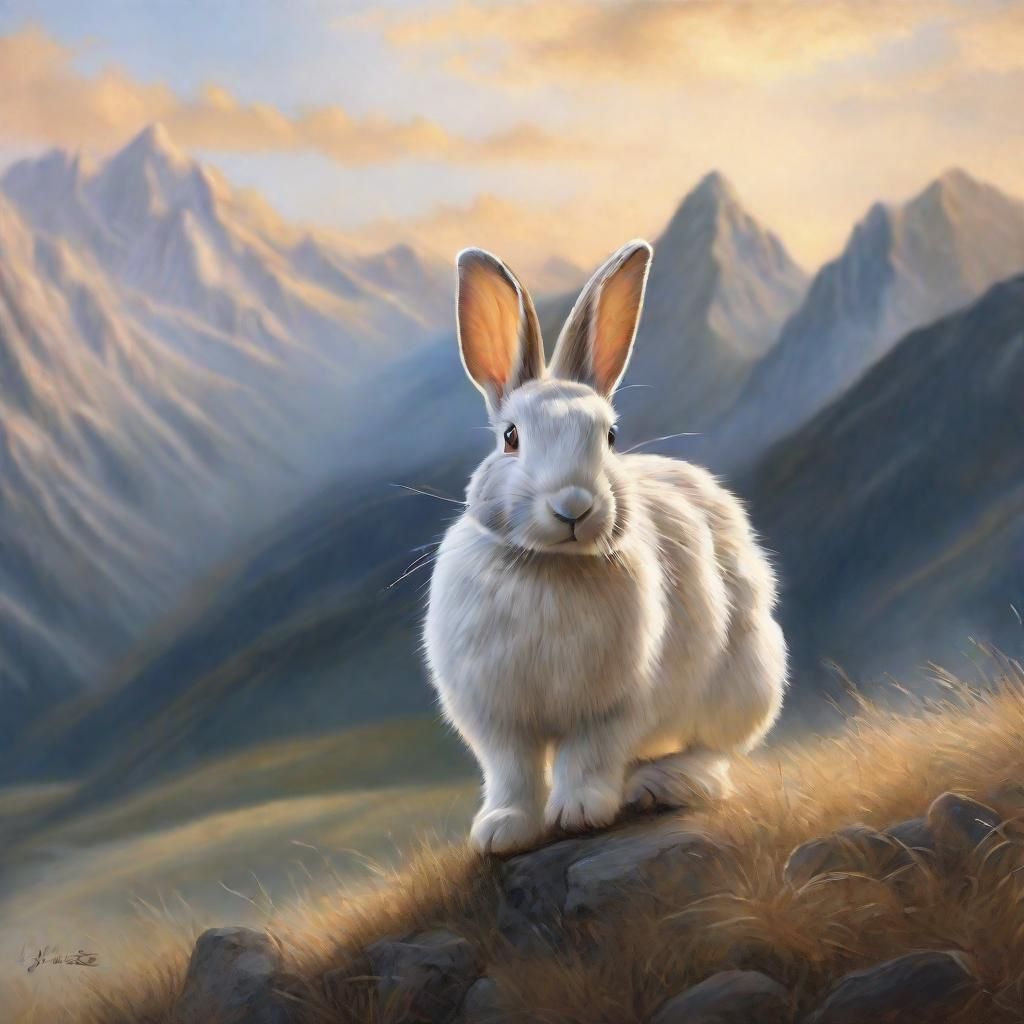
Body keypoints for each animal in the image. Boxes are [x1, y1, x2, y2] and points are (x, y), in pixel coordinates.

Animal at [424, 239, 787, 855]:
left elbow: (587, 757)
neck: (551, 567)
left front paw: (579, 812)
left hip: (746, 677)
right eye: (511, 437)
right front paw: (501, 830)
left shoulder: (615, 707)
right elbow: (513, 772)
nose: (574, 505)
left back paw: (663, 782)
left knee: (713, 752)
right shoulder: (497, 719)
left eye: (610, 437)